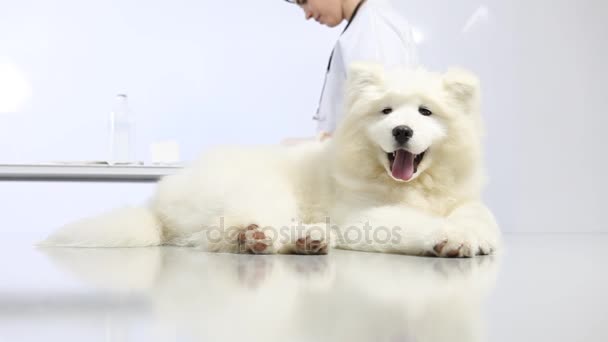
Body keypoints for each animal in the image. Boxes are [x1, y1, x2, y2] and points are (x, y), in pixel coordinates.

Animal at [41, 62, 498, 258]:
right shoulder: (361, 215)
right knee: (222, 234)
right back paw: (257, 238)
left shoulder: (463, 200)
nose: (402, 131)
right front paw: (451, 239)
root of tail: (156, 204)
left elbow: (477, 215)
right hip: (264, 191)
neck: (411, 186)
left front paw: (473, 234)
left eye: (425, 112)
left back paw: (308, 240)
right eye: (385, 112)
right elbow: (412, 223)